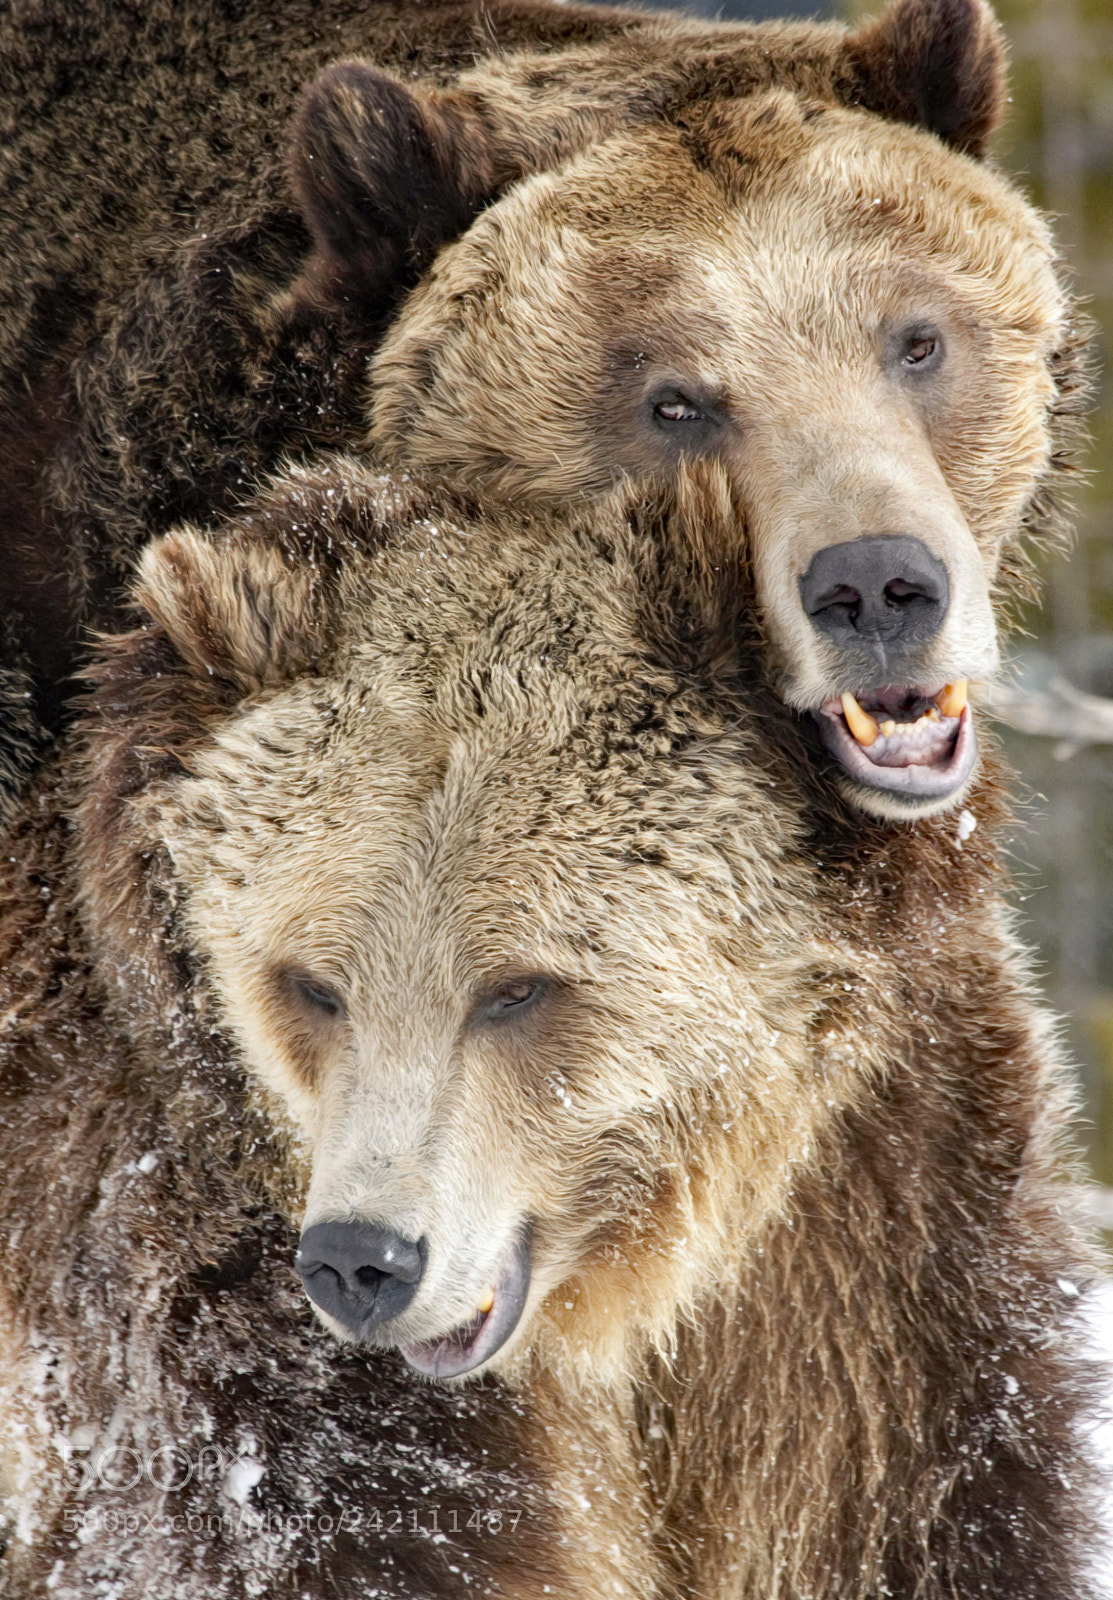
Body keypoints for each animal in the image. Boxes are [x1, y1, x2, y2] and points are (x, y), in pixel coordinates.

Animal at [0, 454, 1105, 1598]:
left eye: (516, 988)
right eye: (311, 984)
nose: (363, 1259)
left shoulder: (872, 1243)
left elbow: (915, 1500)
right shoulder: (193, 1283)